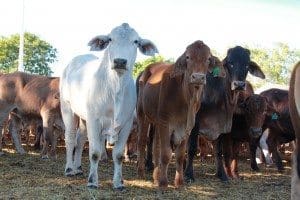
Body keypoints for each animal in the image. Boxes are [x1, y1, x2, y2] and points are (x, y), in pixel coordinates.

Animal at [61, 23, 159, 189]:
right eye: (110, 39)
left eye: (136, 41)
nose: (120, 61)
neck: (116, 88)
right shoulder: (94, 120)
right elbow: (94, 152)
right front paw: (92, 181)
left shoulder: (126, 124)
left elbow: (118, 155)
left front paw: (118, 182)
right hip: (67, 109)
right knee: (70, 138)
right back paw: (69, 169)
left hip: (84, 118)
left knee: (80, 140)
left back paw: (78, 167)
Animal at [136, 41, 225, 189]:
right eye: (188, 57)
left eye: (208, 59)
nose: (198, 77)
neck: (185, 99)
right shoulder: (165, 122)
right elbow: (166, 153)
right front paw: (163, 183)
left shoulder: (187, 126)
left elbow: (180, 154)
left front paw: (179, 182)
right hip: (142, 114)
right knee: (142, 141)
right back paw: (141, 171)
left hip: (156, 121)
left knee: (155, 145)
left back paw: (155, 176)